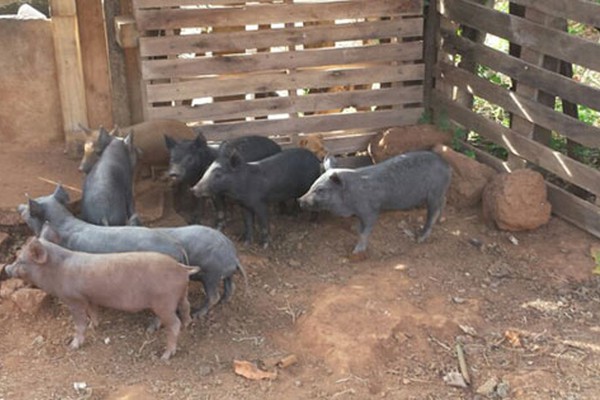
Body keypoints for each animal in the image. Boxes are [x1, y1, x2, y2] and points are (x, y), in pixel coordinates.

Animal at [5, 234, 199, 362]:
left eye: (21, 261)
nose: (6, 268)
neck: (57, 271)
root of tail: (181, 268)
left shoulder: (74, 299)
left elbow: (79, 323)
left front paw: (73, 346)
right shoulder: (89, 297)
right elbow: (93, 312)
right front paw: (94, 326)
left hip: (164, 302)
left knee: (174, 323)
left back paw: (165, 356)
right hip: (180, 294)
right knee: (186, 307)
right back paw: (188, 324)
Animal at [19, 184, 248, 318]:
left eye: (29, 212)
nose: (19, 207)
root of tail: (233, 254)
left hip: (211, 274)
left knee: (213, 296)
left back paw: (199, 314)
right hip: (219, 273)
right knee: (229, 288)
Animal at [300, 150, 450, 256]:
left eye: (320, 190)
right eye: (312, 185)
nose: (299, 200)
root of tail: (447, 166)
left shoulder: (369, 210)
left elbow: (365, 231)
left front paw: (356, 252)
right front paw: (354, 229)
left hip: (434, 192)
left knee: (433, 212)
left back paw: (420, 238)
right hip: (439, 192)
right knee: (443, 202)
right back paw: (441, 220)